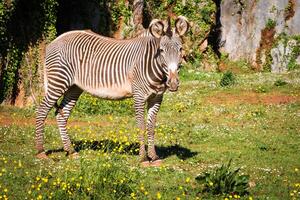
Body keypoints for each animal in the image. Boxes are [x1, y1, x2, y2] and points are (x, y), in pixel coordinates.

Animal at [35, 16, 190, 166]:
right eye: (162, 50)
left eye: (180, 49)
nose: (173, 83)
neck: (152, 65)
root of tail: (55, 40)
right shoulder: (139, 96)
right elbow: (141, 126)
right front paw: (143, 159)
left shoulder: (157, 97)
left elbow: (151, 127)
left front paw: (154, 157)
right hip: (58, 81)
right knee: (41, 110)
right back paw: (41, 151)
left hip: (74, 87)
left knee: (61, 115)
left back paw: (71, 151)